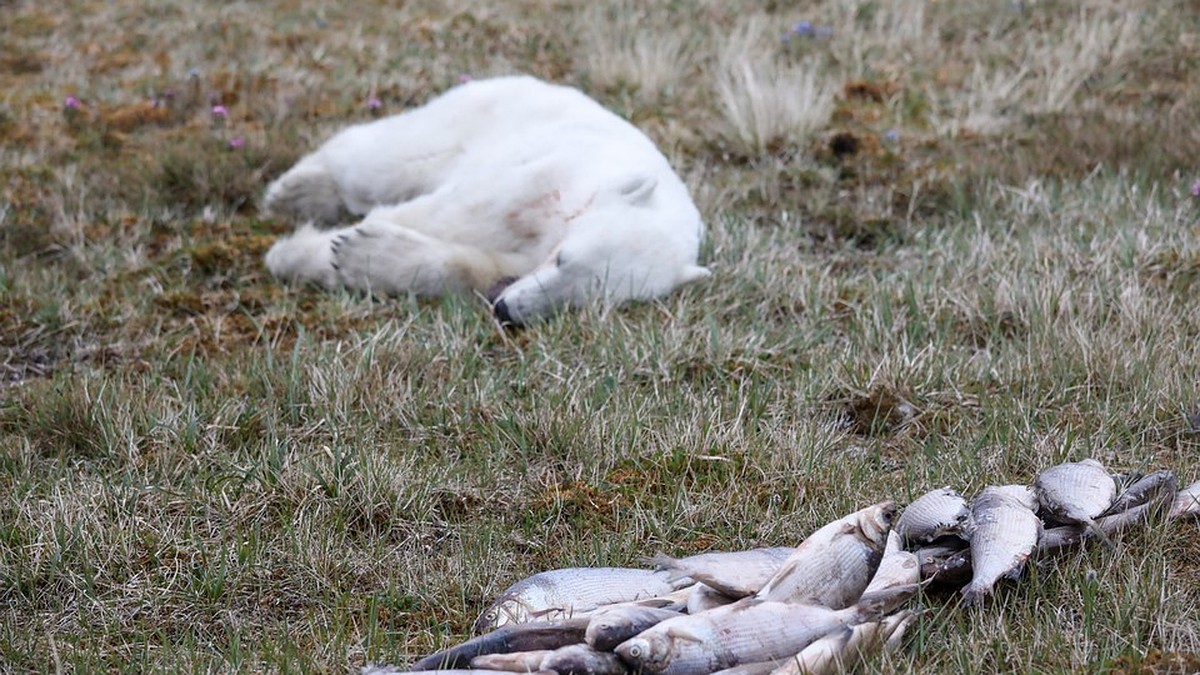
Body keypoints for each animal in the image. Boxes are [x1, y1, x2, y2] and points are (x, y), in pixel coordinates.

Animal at [262, 74, 705, 324]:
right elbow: (456, 213)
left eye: (584, 301)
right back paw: (292, 191)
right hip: (465, 121)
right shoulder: (552, 176)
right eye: (563, 259)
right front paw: (301, 253)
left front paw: (361, 254)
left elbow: (480, 267)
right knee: (379, 160)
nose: (507, 312)